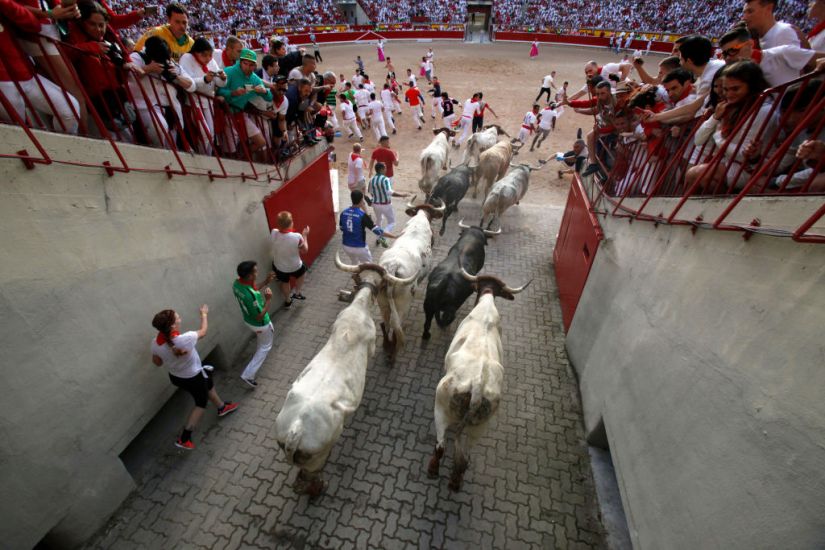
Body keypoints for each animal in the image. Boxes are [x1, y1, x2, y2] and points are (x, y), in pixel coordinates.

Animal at [428, 272, 532, 492]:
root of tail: (477, 386)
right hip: (480, 426)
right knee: (464, 459)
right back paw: (455, 482)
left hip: (440, 407)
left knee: (441, 446)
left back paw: (432, 470)